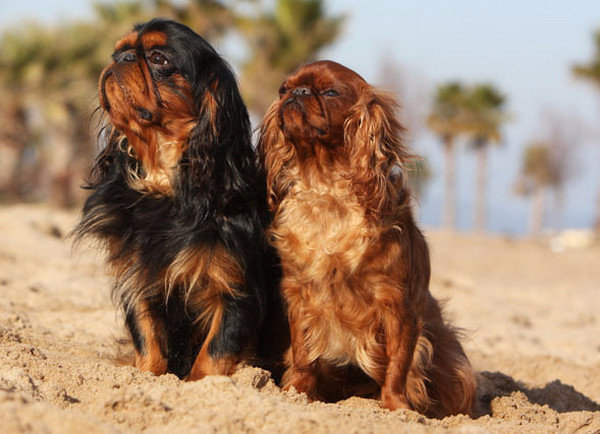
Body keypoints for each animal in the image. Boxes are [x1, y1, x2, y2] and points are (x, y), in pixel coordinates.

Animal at [258, 59, 478, 416]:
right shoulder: (299, 295)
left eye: (330, 92)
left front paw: (396, 406)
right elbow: (303, 352)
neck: (326, 188)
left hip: (454, 365)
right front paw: (295, 392)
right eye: (283, 89)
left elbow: (399, 365)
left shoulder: (397, 304)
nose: (298, 93)